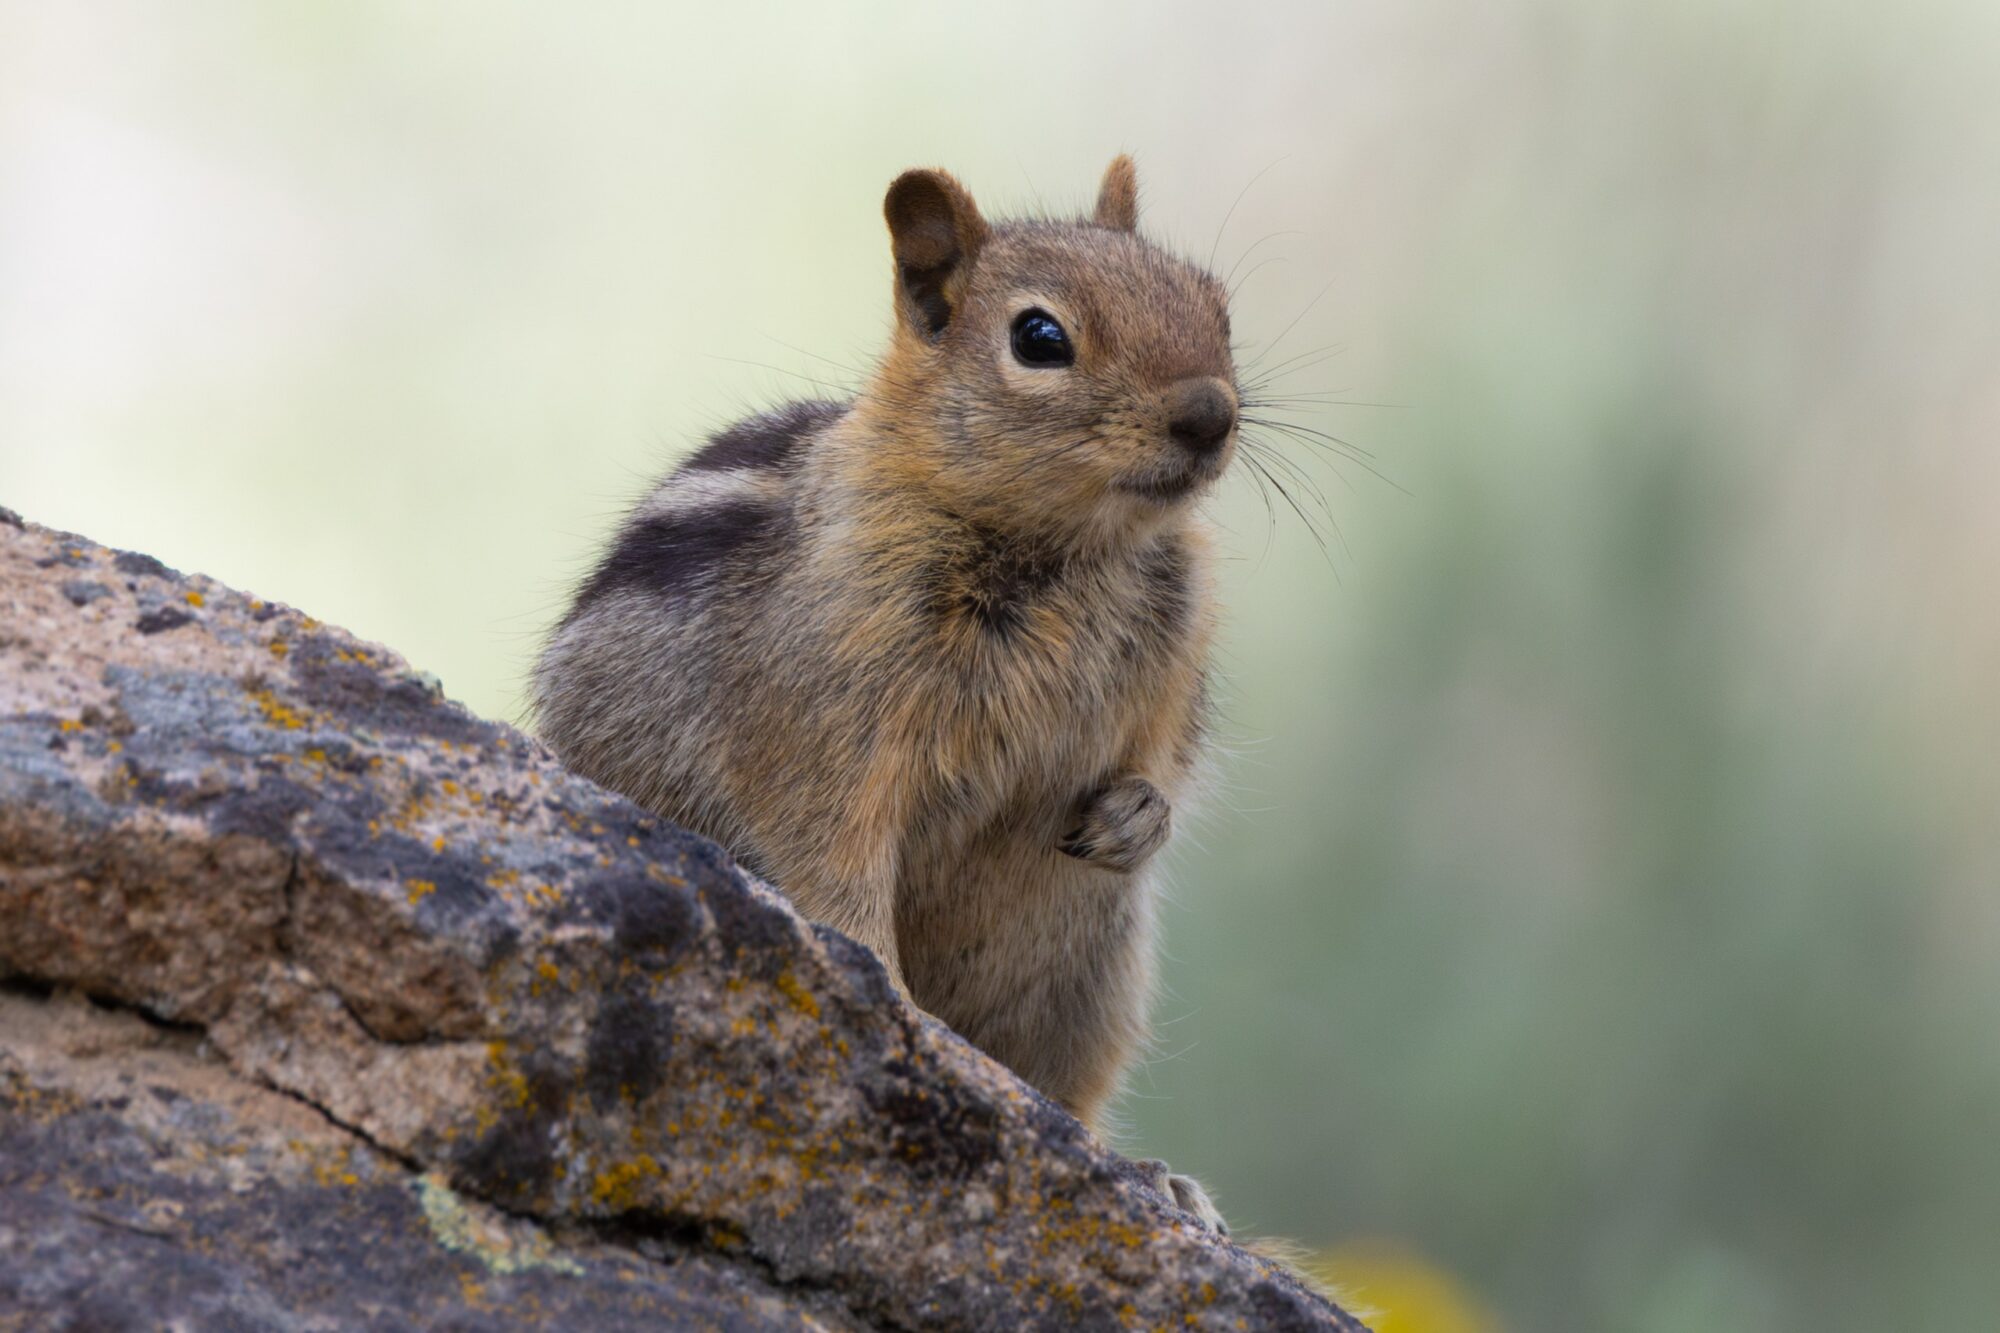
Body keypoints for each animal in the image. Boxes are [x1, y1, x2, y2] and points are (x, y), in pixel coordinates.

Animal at [533, 157, 1240, 1231]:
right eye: (1040, 338)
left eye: (1218, 305)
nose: (1210, 415)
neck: (1064, 548)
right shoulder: (825, 711)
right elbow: (833, 857)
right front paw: (896, 1011)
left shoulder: (1177, 658)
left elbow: (1169, 759)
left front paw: (1136, 815)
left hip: (1090, 977)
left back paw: (1159, 1179)